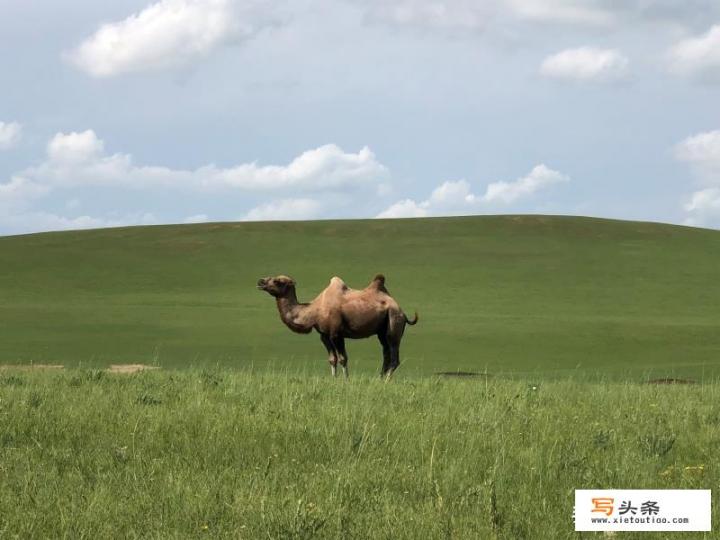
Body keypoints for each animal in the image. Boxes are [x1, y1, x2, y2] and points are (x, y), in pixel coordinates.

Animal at [258, 272, 416, 378]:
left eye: (278, 281)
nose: (260, 281)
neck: (314, 310)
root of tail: (402, 311)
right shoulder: (324, 335)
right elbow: (332, 359)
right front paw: (334, 379)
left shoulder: (336, 333)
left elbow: (342, 358)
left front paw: (346, 380)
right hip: (381, 331)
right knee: (386, 353)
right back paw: (380, 378)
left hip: (394, 321)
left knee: (394, 356)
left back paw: (386, 380)